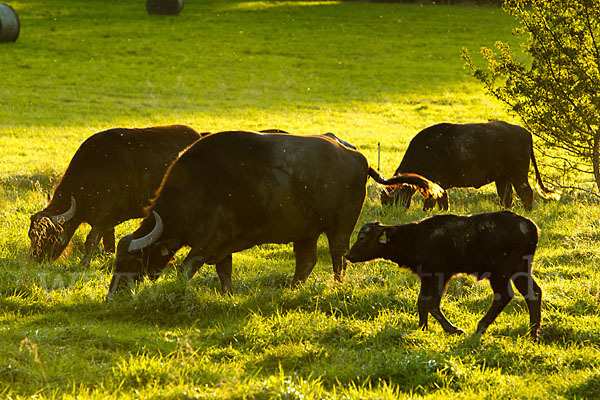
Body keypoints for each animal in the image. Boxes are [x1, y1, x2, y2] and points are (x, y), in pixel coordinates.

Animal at [28, 123, 200, 264]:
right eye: (31, 235)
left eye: (49, 236)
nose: (36, 258)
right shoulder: (106, 223)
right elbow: (109, 244)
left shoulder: (106, 217)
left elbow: (91, 240)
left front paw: (84, 264)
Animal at [106, 130, 446, 296]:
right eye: (116, 262)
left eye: (132, 260)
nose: (113, 295)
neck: (200, 187)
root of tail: (358, 158)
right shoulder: (223, 246)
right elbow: (224, 273)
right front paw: (228, 296)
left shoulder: (210, 240)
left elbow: (185, 269)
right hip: (306, 230)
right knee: (307, 260)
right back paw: (293, 288)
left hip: (341, 226)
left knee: (338, 257)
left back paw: (336, 286)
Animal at [344, 211, 540, 340]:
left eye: (362, 238)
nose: (348, 255)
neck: (415, 237)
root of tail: (527, 224)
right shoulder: (426, 277)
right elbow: (422, 302)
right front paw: (422, 328)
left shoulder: (440, 275)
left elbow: (432, 303)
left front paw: (453, 329)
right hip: (520, 271)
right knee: (534, 294)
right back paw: (533, 334)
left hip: (500, 274)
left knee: (504, 296)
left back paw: (480, 328)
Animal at [382, 120, 560, 211]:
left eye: (391, 199)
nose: (389, 213)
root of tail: (525, 133)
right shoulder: (440, 186)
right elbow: (443, 200)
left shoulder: (435, 183)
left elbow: (431, 202)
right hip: (503, 178)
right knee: (506, 197)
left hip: (518, 175)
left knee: (526, 193)